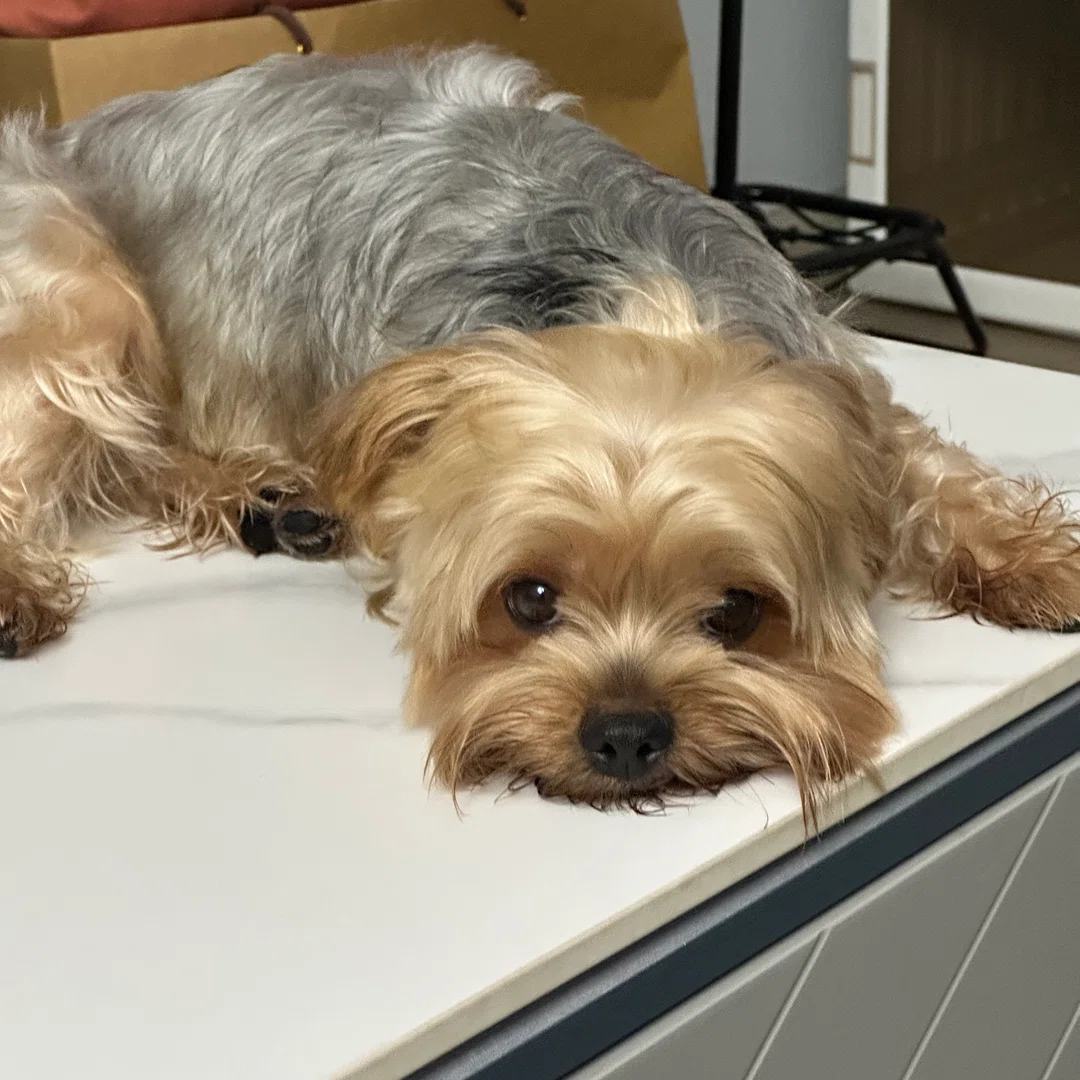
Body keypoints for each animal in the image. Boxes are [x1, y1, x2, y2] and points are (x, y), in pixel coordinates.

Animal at [2, 47, 1078, 816]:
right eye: (530, 600)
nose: (627, 734)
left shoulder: (839, 380)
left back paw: (257, 496)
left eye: (735, 612)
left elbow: (933, 471)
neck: (643, 300)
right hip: (76, 279)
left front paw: (1037, 559)